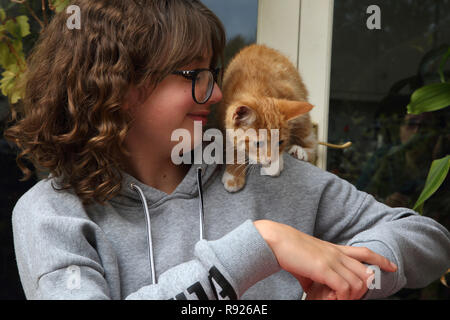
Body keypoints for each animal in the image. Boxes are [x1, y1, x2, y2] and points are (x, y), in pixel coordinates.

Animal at [217, 43, 316, 191]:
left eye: (280, 142)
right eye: (258, 143)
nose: (270, 160)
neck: (252, 85)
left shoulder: (289, 91)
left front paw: (275, 165)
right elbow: (232, 144)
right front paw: (233, 174)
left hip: (300, 103)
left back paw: (301, 150)